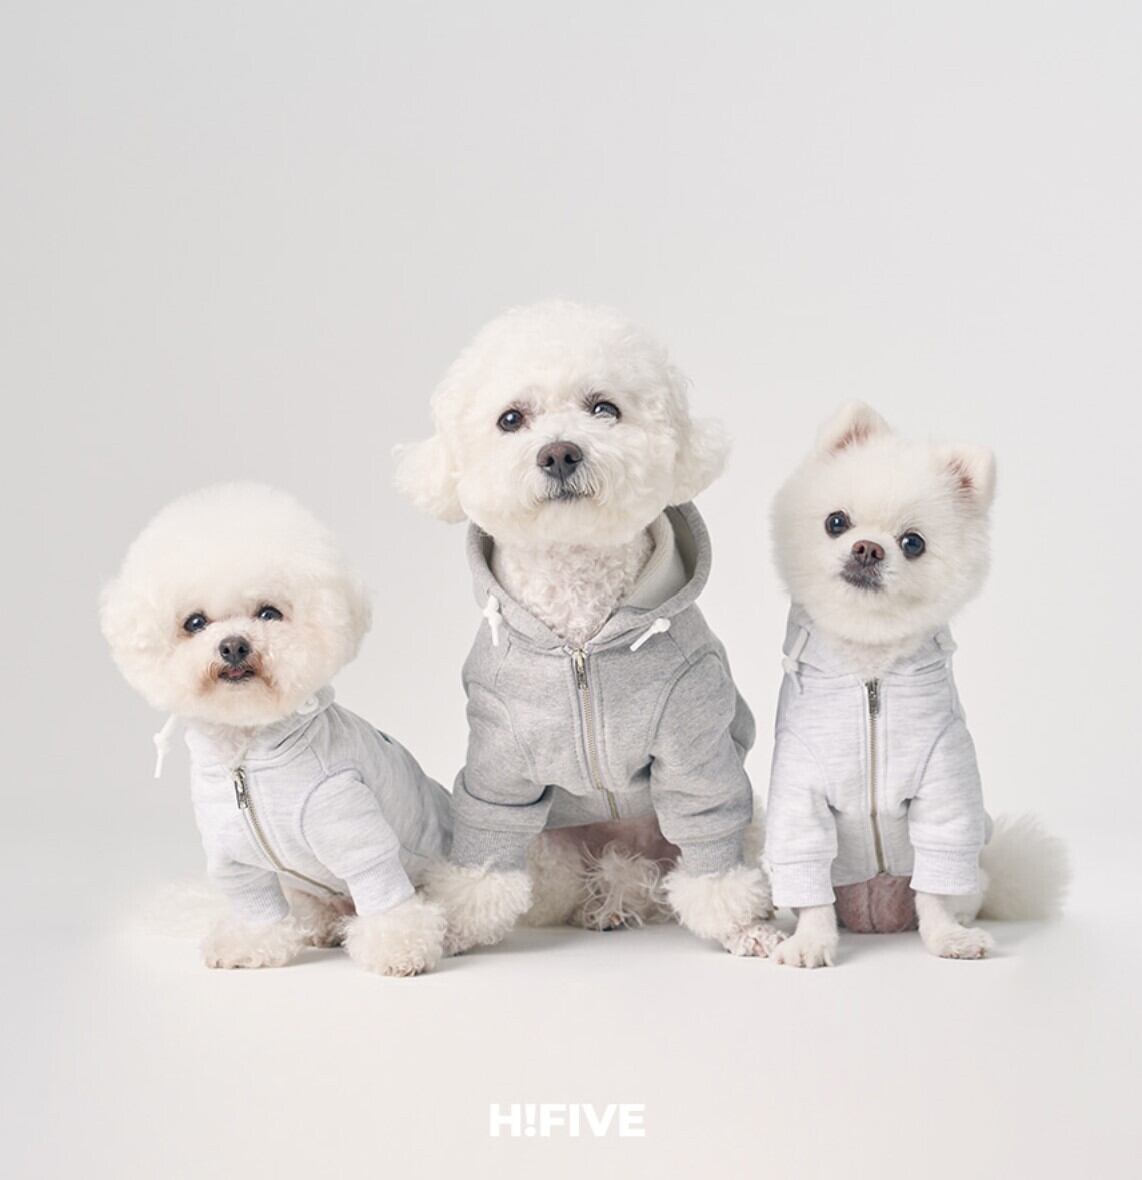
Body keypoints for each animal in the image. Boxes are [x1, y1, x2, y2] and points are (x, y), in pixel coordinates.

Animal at [100, 483, 451, 976]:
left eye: (268, 613)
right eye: (195, 623)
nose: (233, 646)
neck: (246, 760)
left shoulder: (355, 829)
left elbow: (384, 893)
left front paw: (399, 947)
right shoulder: (234, 859)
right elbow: (256, 906)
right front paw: (250, 943)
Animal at [396, 300, 782, 957]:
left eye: (604, 408)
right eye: (511, 419)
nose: (558, 453)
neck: (579, 639)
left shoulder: (695, 742)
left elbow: (710, 835)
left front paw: (743, 926)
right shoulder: (499, 759)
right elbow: (483, 854)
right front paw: (454, 929)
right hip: (551, 848)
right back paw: (601, 907)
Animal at [765, 402, 1069, 966]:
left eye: (913, 543)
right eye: (836, 522)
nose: (867, 548)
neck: (871, 676)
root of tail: (876, 916)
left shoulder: (944, 792)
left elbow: (935, 887)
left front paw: (947, 937)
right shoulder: (798, 794)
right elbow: (808, 879)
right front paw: (812, 941)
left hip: (970, 874)